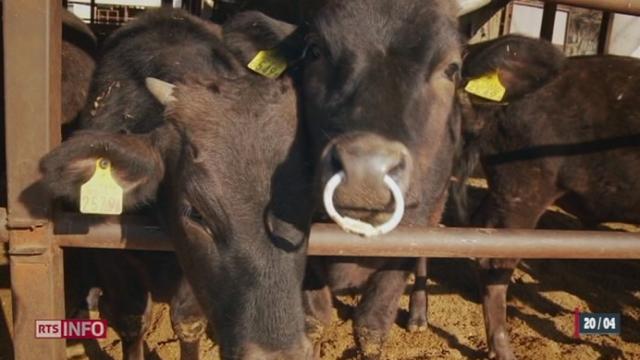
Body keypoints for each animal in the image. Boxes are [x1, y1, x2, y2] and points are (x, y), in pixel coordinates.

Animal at [38, 9, 314, 360]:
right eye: (196, 213)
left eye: (308, 207)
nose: (277, 353)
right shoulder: (110, 256)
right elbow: (132, 320)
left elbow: (188, 321)